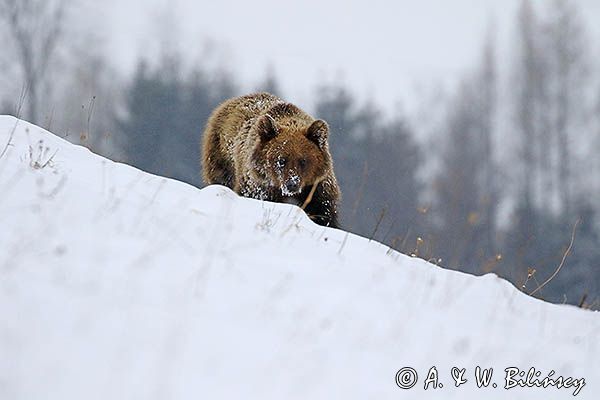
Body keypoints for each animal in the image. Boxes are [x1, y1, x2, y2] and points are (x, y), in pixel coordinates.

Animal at [202, 92, 340, 227]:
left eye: (303, 160)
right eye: (281, 160)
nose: (292, 184)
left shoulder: (317, 186)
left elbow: (324, 212)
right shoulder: (260, 184)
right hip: (221, 156)